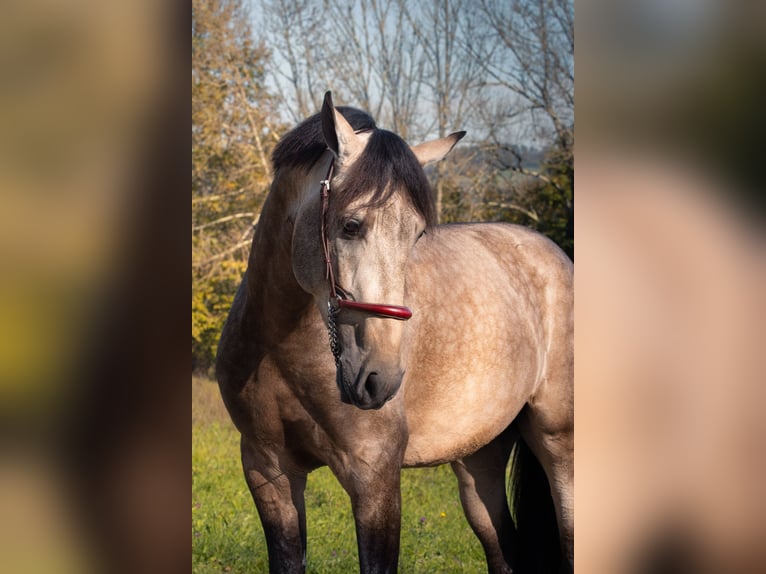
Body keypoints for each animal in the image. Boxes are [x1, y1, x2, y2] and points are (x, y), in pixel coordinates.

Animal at [216, 92, 573, 573]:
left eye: (417, 235)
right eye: (351, 225)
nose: (379, 378)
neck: (281, 350)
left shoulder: (374, 478)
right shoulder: (267, 471)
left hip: (560, 447)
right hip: (478, 461)